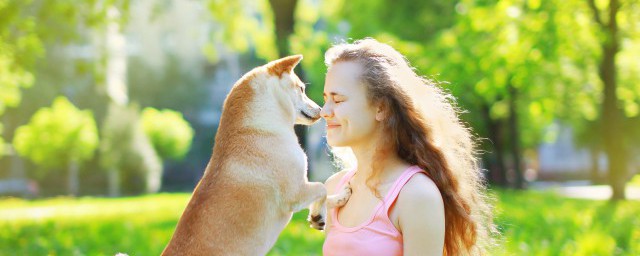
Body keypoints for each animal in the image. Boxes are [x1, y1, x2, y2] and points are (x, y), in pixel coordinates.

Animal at [160, 55, 350, 255]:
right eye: (301, 89)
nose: (321, 110)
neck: (257, 127)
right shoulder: (296, 192)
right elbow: (322, 188)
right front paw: (318, 213)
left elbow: (327, 194)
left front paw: (337, 199)